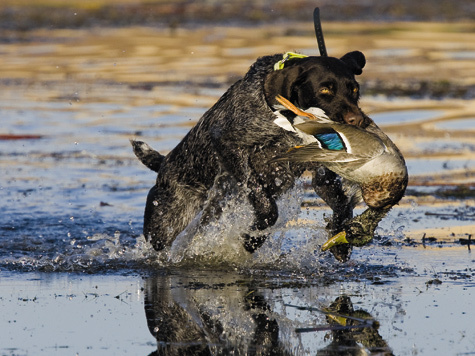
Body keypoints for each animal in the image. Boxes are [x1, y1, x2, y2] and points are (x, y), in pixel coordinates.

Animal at [132, 51, 370, 258]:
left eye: (354, 90)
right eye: (325, 90)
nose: (358, 121)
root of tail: (164, 164)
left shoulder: (322, 176)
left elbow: (342, 206)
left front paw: (341, 241)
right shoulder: (228, 144)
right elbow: (265, 204)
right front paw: (253, 240)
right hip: (165, 224)